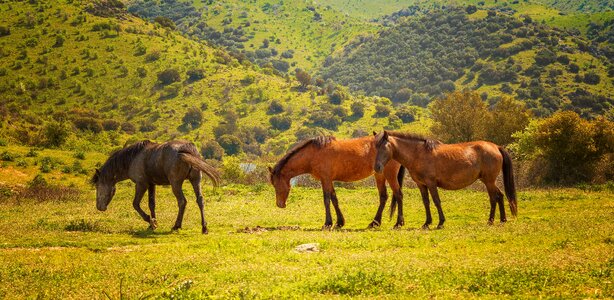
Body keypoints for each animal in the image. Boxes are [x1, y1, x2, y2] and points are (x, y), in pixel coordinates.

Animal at [92, 139, 221, 233]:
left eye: (98, 186)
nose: (99, 207)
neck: (133, 158)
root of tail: (187, 149)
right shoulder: (151, 184)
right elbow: (151, 204)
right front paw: (153, 223)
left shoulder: (141, 184)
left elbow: (135, 204)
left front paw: (151, 221)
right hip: (196, 180)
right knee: (200, 200)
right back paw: (204, 228)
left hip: (176, 183)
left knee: (182, 202)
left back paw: (176, 225)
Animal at [270, 135, 410, 229]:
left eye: (276, 184)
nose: (280, 204)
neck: (314, 153)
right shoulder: (329, 180)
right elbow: (334, 199)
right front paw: (339, 222)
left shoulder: (325, 179)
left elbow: (326, 200)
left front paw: (327, 223)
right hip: (379, 175)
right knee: (383, 197)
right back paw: (374, 223)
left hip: (390, 175)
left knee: (398, 195)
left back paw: (398, 223)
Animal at [372, 130, 516, 229]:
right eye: (375, 148)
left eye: (384, 147)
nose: (377, 167)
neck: (418, 154)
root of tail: (496, 147)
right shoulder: (421, 185)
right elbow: (426, 202)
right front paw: (427, 223)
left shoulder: (431, 183)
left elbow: (436, 201)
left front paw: (440, 222)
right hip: (489, 181)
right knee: (499, 196)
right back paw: (502, 219)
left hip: (489, 181)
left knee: (494, 198)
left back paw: (491, 220)